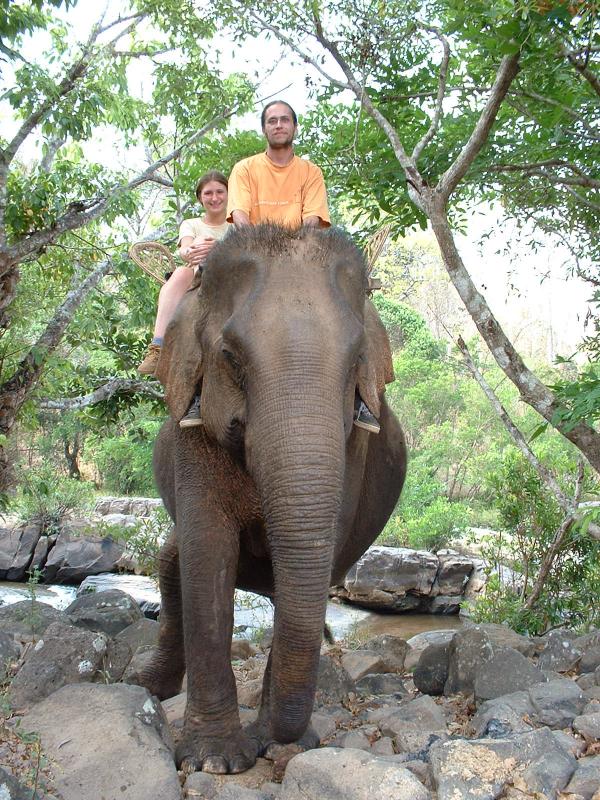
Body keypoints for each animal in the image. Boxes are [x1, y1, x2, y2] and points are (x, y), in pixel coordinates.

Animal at [135, 223, 406, 776]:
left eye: (356, 362)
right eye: (230, 357)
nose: (272, 737)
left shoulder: (354, 448)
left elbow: (316, 557)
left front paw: (278, 746)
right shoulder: (193, 429)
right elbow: (207, 554)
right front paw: (214, 761)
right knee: (172, 561)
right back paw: (148, 689)